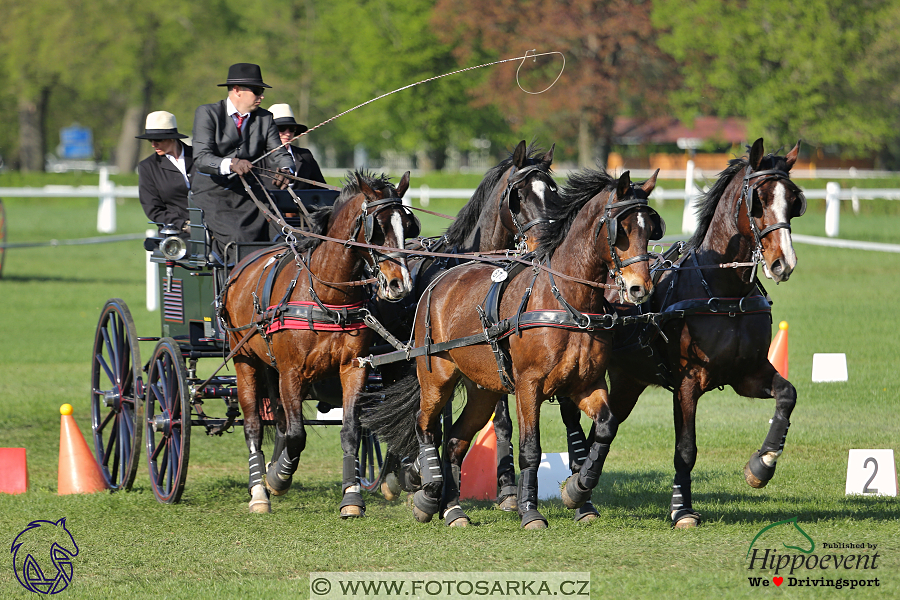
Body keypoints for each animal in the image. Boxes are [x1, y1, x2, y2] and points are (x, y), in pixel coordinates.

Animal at [225, 170, 422, 516]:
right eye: (377, 227)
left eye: (408, 225)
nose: (401, 285)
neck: (326, 295)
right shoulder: (291, 373)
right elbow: (296, 435)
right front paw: (277, 479)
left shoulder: (353, 368)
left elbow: (350, 430)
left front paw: (352, 496)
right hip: (245, 360)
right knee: (253, 426)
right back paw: (259, 491)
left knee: (277, 420)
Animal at [364, 170, 660, 528]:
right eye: (622, 230)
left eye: (651, 228)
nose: (640, 288)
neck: (566, 299)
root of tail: (438, 281)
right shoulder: (528, 386)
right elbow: (530, 448)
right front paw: (529, 510)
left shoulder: (587, 383)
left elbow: (605, 428)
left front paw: (577, 491)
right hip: (436, 377)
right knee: (425, 424)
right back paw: (429, 492)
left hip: (483, 389)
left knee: (455, 440)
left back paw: (452, 509)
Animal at [588, 138, 804, 528]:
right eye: (759, 199)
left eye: (793, 200)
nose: (784, 262)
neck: (724, 292)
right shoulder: (688, 382)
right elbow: (686, 448)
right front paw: (681, 508)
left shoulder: (747, 374)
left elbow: (787, 394)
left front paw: (762, 465)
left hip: (629, 379)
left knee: (604, 427)